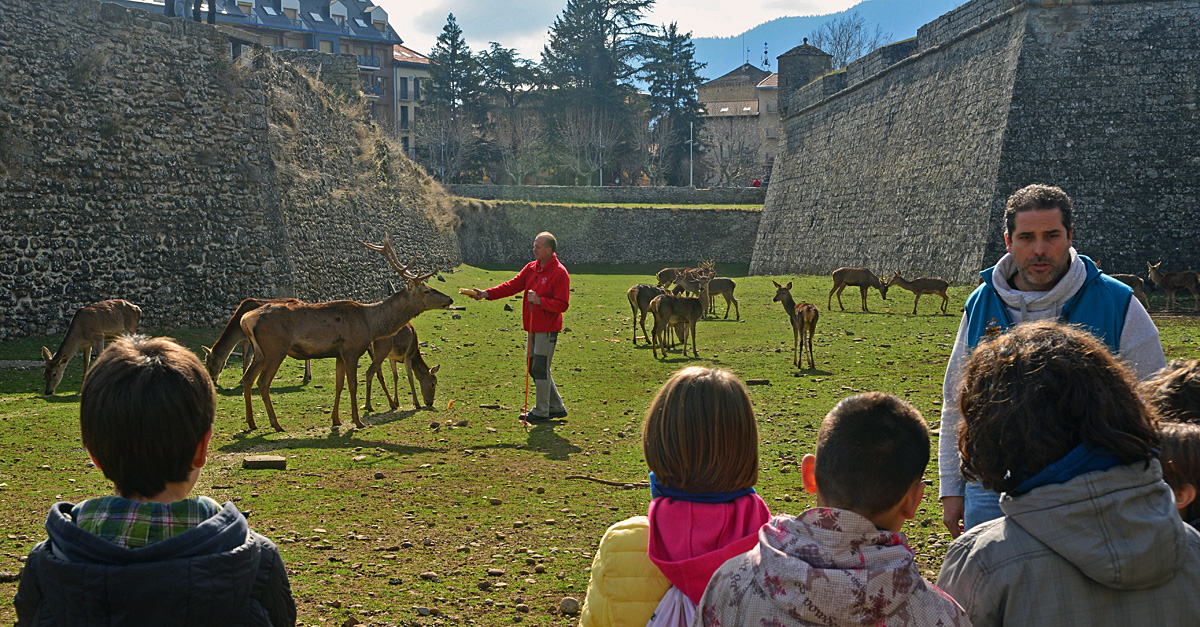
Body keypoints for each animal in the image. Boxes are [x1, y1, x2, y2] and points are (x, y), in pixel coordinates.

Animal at [237, 234, 451, 430]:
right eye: (426, 290)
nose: (449, 299)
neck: (371, 323)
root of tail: (246, 318)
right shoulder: (351, 350)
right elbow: (353, 385)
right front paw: (357, 421)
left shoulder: (339, 355)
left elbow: (339, 385)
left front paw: (336, 420)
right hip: (275, 349)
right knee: (263, 382)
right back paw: (276, 424)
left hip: (260, 352)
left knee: (247, 378)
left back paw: (251, 422)